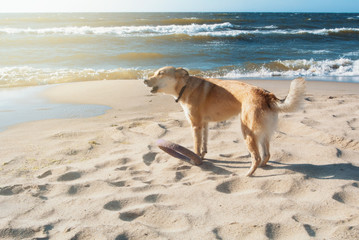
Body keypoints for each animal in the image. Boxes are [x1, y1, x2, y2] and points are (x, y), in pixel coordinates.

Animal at [144, 66, 306, 175]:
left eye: (160, 73)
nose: (144, 80)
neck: (185, 85)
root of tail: (267, 95)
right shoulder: (204, 124)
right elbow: (204, 145)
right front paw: (202, 156)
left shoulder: (195, 125)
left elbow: (196, 146)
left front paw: (195, 160)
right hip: (263, 133)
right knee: (266, 155)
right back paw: (260, 167)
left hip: (247, 133)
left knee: (256, 157)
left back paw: (248, 174)